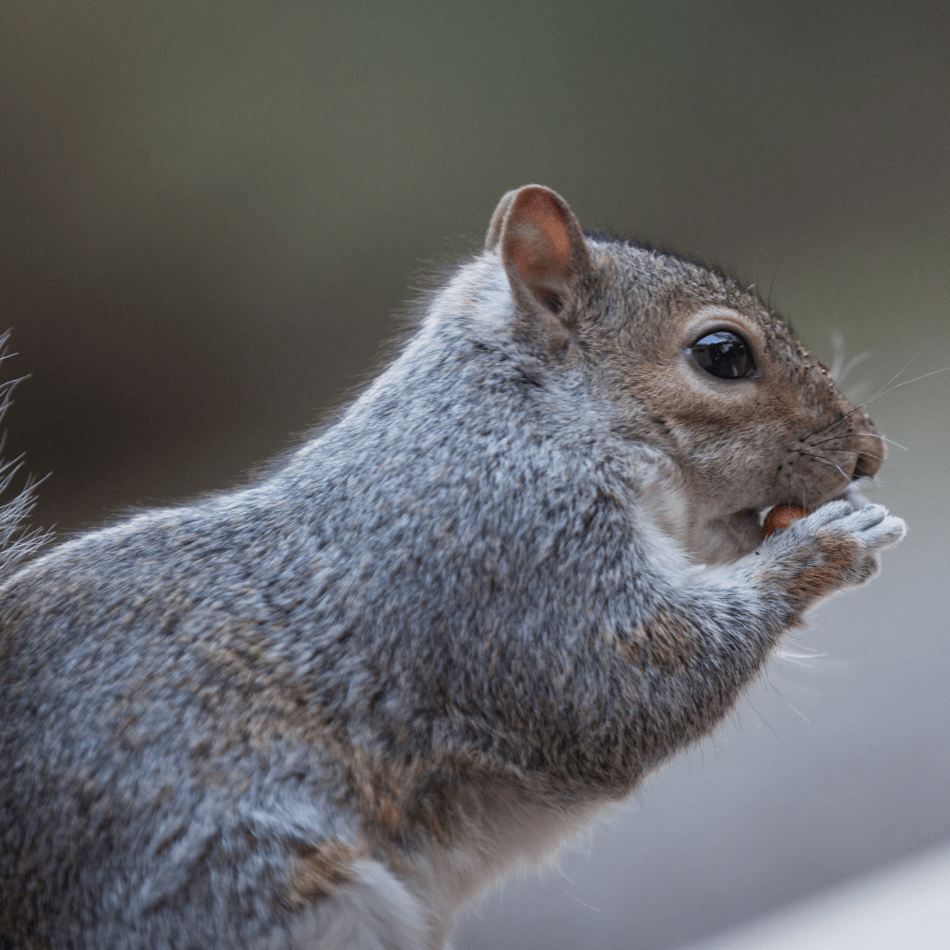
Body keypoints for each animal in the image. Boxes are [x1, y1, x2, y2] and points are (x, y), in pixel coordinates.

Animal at [0, 185, 906, 949]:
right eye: (723, 354)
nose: (870, 453)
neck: (524, 415)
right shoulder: (505, 551)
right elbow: (628, 680)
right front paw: (826, 544)